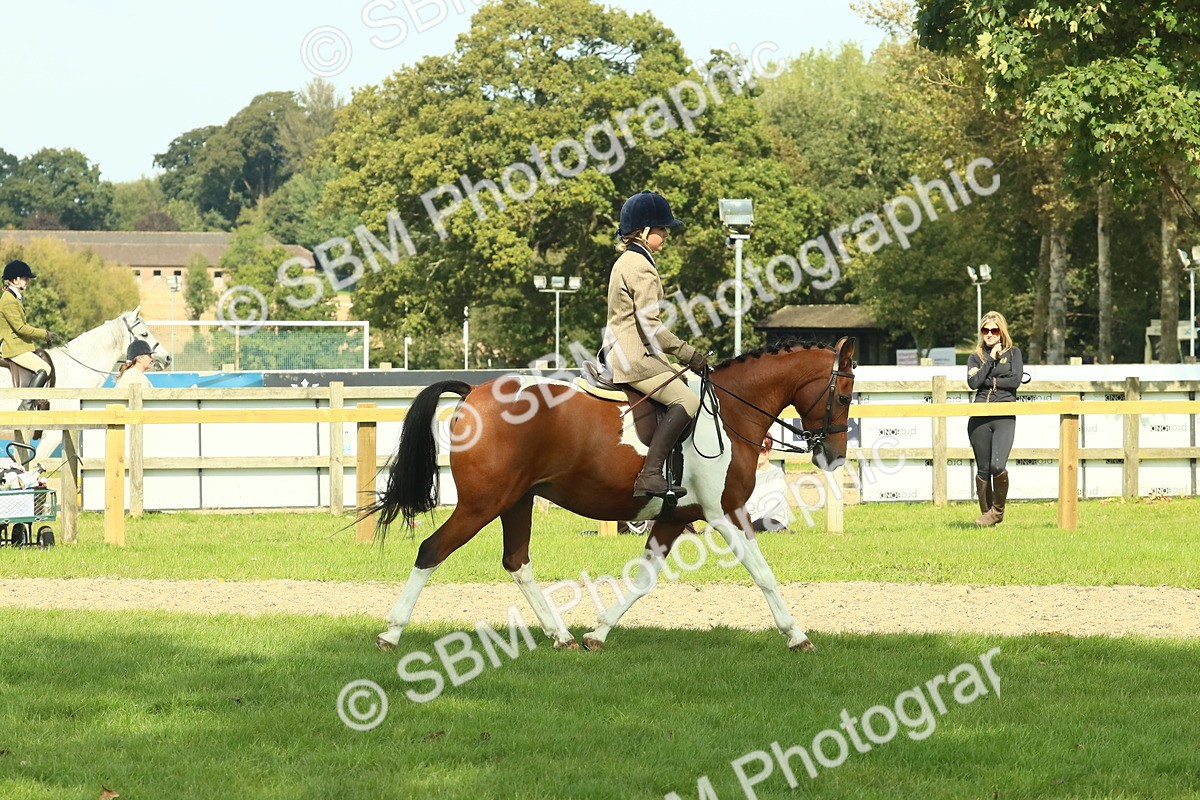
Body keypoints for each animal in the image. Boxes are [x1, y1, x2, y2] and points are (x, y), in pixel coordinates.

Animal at [371, 336, 856, 652]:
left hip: (516, 501)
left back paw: (561, 636)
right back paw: (391, 632)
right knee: (432, 549)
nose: (833, 457)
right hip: (481, 504)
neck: (732, 410)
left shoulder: (675, 518)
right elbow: (764, 574)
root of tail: (475, 391)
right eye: (845, 395)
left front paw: (597, 633)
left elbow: (642, 580)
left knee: (517, 561)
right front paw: (797, 635)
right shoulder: (727, 512)